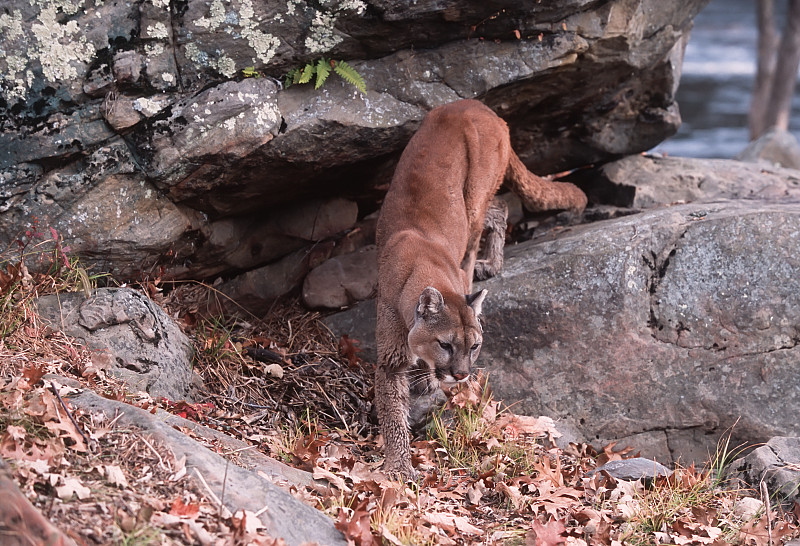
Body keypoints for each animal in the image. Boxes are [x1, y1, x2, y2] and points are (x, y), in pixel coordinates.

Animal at [376, 98, 588, 476]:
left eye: (474, 346)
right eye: (445, 344)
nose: (461, 375)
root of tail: (478, 105)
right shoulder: (391, 356)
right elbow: (392, 414)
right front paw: (399, 466)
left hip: (474, 196)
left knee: (492, 213)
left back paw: (486, 264)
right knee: (499, 208)